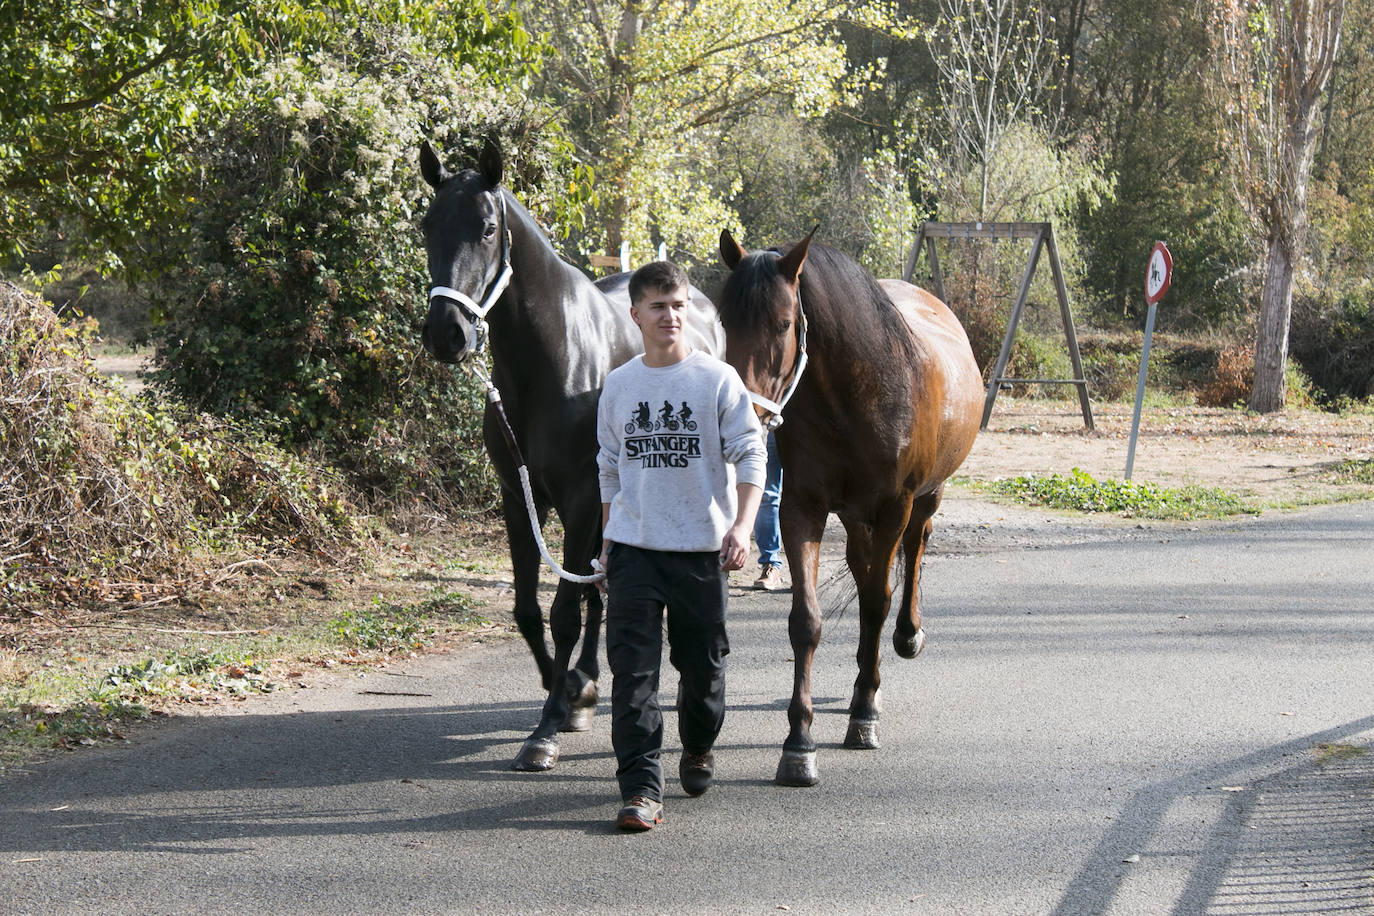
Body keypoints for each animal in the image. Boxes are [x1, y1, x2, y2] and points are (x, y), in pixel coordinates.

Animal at [417, 140, 725, 769]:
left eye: (487, 228)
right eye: (427, 225)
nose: (446, 333)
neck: (551, 358)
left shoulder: (582, 499)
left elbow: (563, 611)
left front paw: (547, 726)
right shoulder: (520, 498)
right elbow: (529, 610)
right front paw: (565, 691)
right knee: (598, 589)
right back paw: (585, 682)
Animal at [714, 229, 983, 791]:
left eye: (784, 324)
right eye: (725, 321)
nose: (740, 412)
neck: (858, 395)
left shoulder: (895, 506)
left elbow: (878, 602)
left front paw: (863, 715)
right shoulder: (803, 509)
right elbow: (807, 620)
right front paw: (799, 743)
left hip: (925, 497)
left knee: (912, 554)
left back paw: (903, 641)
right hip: (857, 517)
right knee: (864, 573)